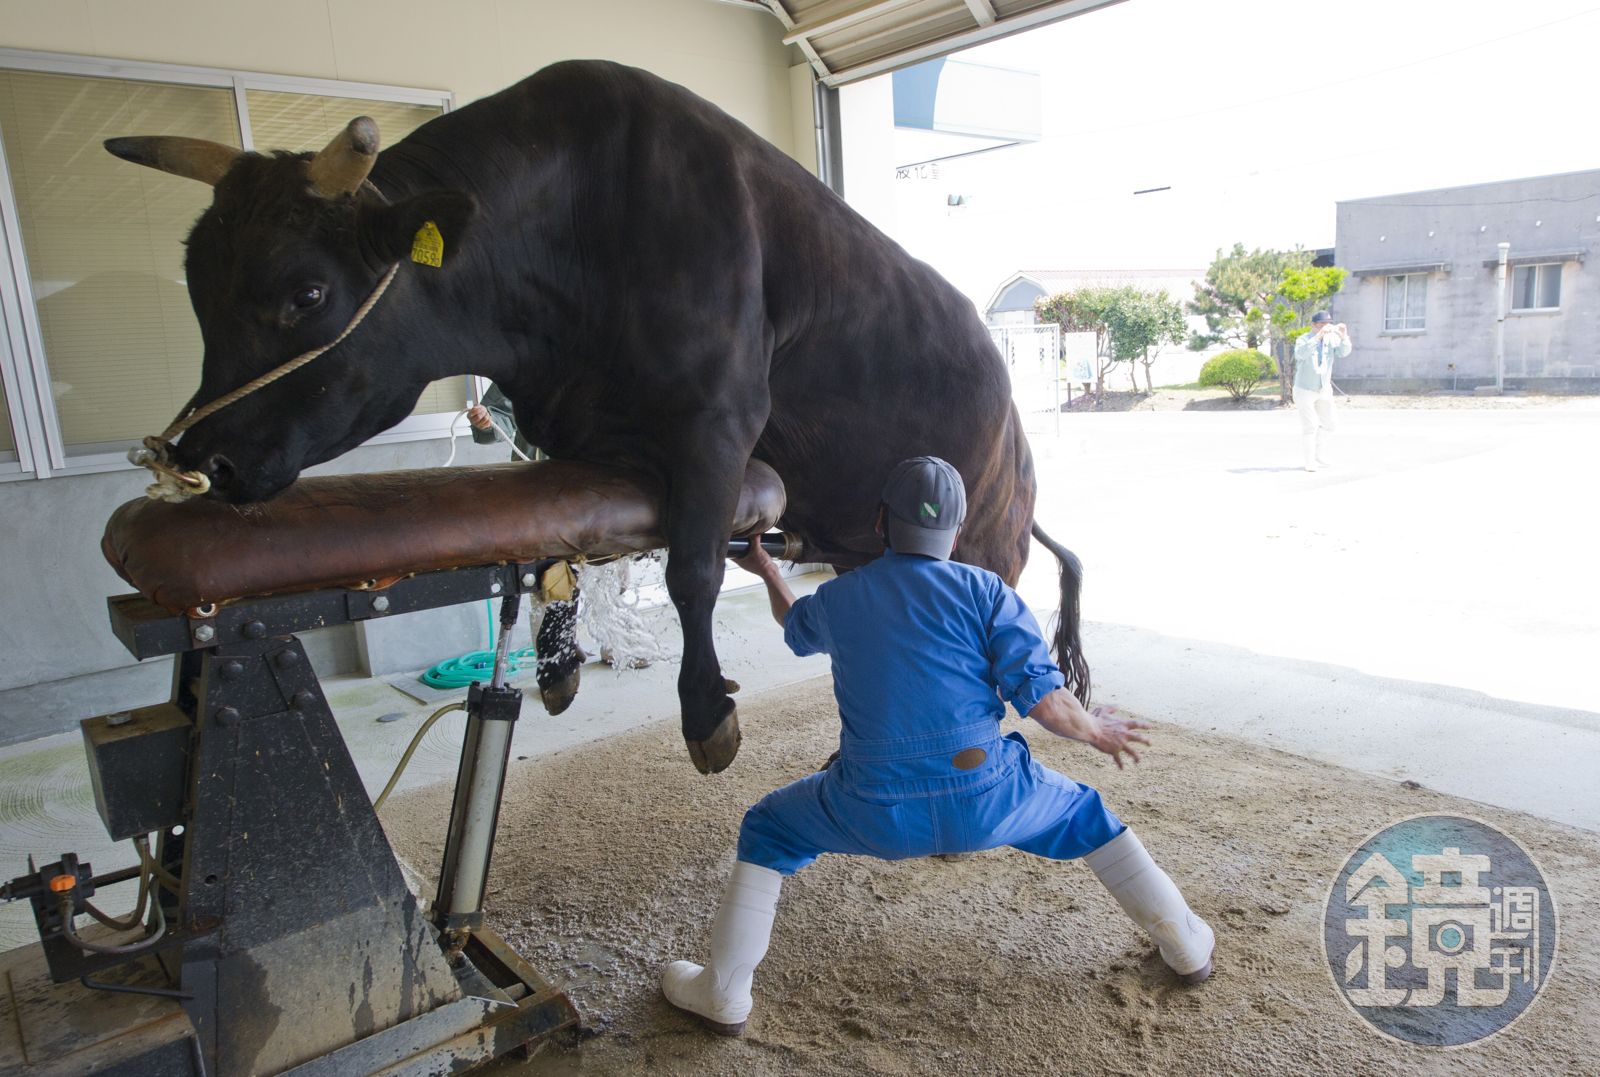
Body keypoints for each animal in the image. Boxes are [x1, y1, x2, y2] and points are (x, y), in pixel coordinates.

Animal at [105, 60, 1089, 776]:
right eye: (198, 288)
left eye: (305, 292)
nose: (203, 456)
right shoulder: (568, 437)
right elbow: (557, 551)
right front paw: (560, 661)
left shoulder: (718, 418)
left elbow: (693, 570)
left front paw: (706, 710)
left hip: (985, 540)